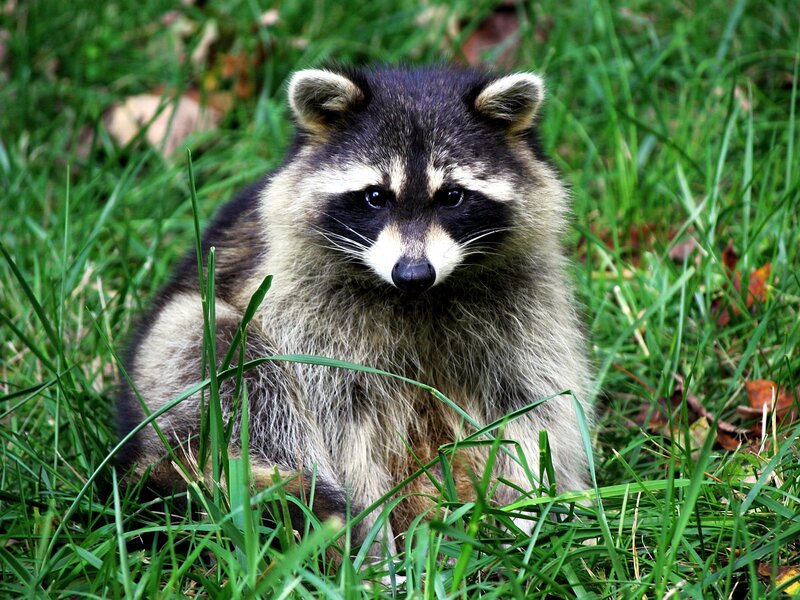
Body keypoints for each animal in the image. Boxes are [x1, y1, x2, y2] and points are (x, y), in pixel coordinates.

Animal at [116, 65, 593, 554]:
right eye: (375, 197)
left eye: (453, 196)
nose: (413, 273)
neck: (419, 298)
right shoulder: (309, 316)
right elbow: (341, 431)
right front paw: (372, 545)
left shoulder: (524, 308)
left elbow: (532, 410)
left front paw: (532, 515)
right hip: (172, 362)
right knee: (232, 356)